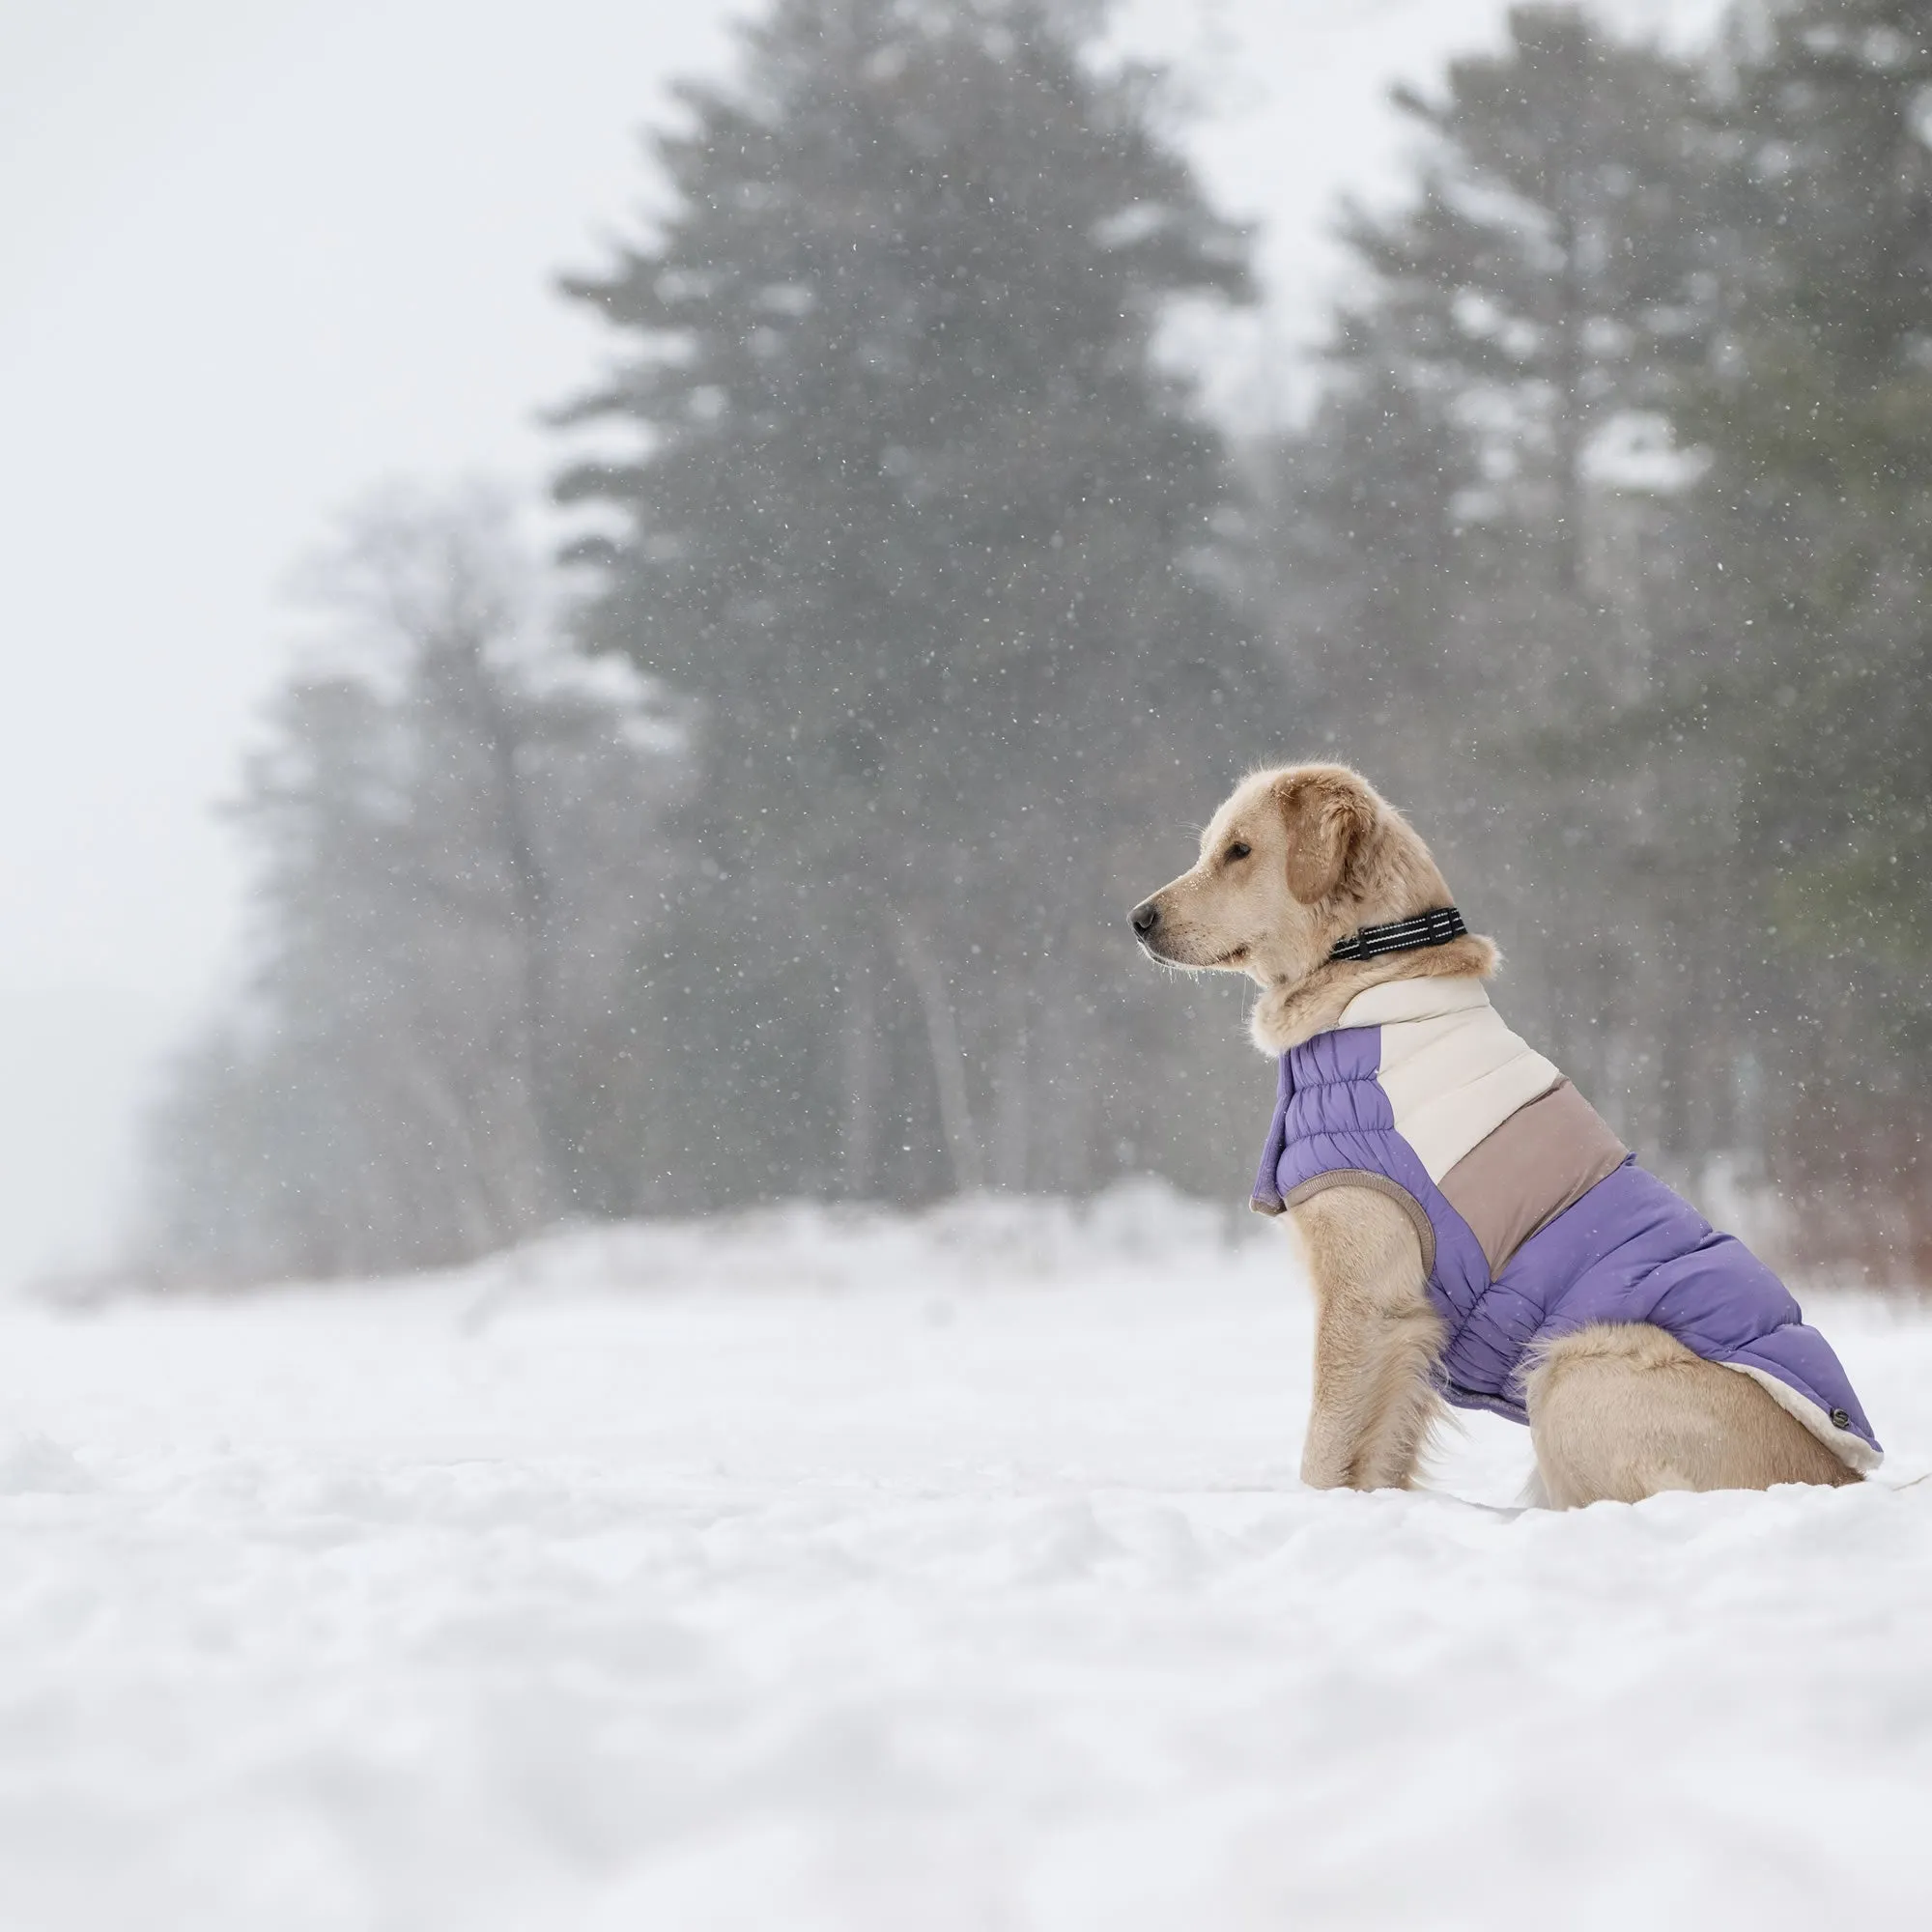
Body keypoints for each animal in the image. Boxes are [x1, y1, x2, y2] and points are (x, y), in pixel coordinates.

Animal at [1128, 761, 1870, 1499]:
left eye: (1239, 851)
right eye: (1210, 847)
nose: (1138, 919)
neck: (1368, 970)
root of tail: (1842, 1471)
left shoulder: (1366, 1296)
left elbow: (1325, 1449)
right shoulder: (1411, 1330)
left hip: (1572, 1365)